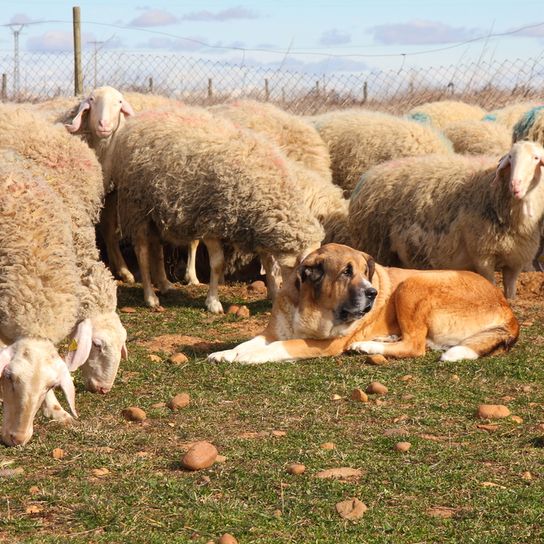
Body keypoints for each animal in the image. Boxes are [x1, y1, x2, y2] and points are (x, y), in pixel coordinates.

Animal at [207, 243, 520, 364]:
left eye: (364, 272)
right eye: (346, 272)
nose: (372, 293)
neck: (311, 306)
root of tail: (507, 308)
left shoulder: (323, 345)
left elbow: (280, 347)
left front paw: (248, 358)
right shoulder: (271, 332)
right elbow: (248, 342)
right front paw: (225, 353)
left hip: (412, 285)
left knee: (415, 346)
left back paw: (367, 346)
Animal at [348, 140, 544, 298]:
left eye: (536, 158)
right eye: (511, 157)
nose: (515, 185)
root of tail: (368, 175)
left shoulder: (515, 261)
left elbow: (510, 294)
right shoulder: (483, 256)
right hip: (376, 246)